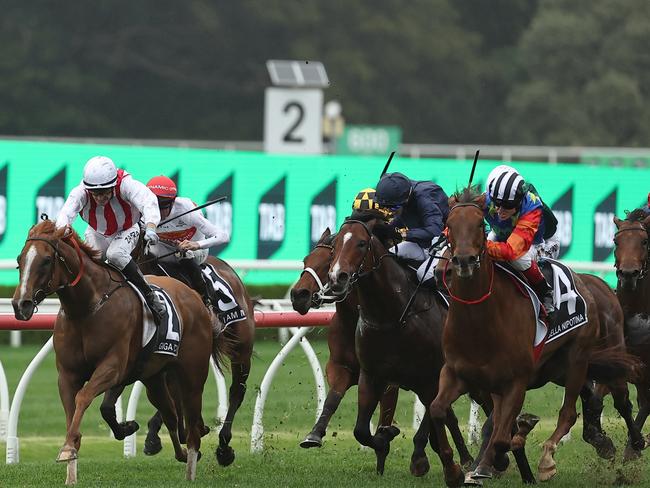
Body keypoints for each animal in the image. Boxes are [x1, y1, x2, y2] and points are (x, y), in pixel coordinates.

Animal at [9, 222, 223, 484]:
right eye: (19, 259)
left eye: (47, 260)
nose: (21, 304)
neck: (86, 309)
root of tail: (194, 296)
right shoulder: (67, 375)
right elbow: (75, 412)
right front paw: (72, 466)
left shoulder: (113, 367)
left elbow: (84, 398)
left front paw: (69, 448)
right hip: (154, 377)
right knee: (170, 413)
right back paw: (180, 453)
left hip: (192, 374)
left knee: (191, 422)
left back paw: (191, 466)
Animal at [288, 229, 400, 454]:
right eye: (305, 260)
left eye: (328, 262)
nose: (298, 295)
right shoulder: (340, 367)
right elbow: (332, 398)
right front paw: (314, 434)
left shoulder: (389, 377)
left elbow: (386, 409)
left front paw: (383, 438)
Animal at [430, 188, 636, 484]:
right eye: (448, 225)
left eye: (480, 224)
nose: (463, 261)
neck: (479, 325)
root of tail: (588, 282)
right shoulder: (457, 373)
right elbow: (437, 410)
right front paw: (454, 470)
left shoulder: (516, 381)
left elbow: (501, 437)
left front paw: (499, 457)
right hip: (556, 368)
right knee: (588, 399)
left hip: (577, 358)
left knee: (571, 412)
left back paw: (551, 458)